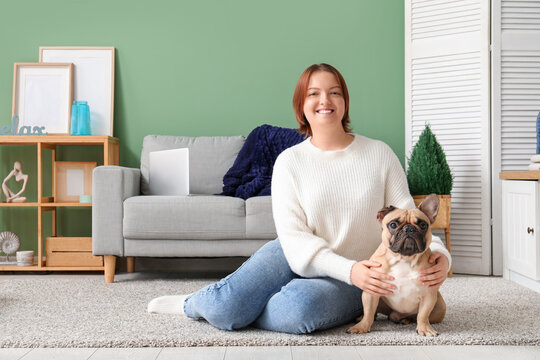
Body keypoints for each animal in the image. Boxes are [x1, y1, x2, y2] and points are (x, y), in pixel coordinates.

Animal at [348, 194, 446, 338]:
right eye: (393, 225)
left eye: (423, 225)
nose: (409, 229)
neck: (404, 259)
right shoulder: (371, 292)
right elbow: (369, 312)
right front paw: (362, 327)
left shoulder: (428, 295)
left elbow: (423, 315)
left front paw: (425, 328)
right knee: (373, 312)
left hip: (440, 306)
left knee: (417, 316)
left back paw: (405, 320)